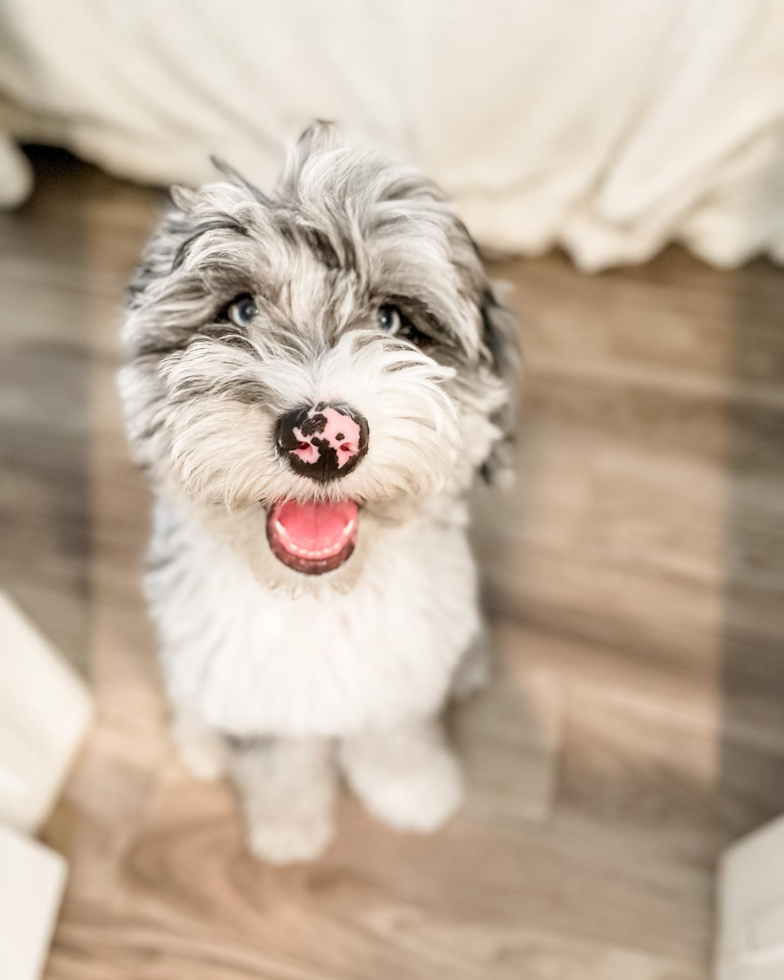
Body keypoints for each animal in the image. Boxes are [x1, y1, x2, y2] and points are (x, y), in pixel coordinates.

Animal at [119, 122, 516, 864]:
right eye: (241, 310)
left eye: (392, 322)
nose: (323, 434)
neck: (318, 597)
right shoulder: (250, 686)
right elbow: (278, 755)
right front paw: (289, 826)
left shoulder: (402, 671)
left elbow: (394, 734)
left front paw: (412, 792)